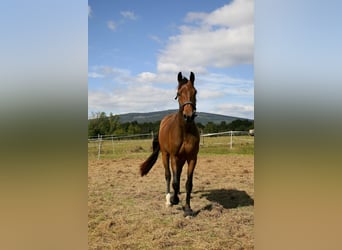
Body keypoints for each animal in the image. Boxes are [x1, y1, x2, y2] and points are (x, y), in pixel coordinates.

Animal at [139, 71, 199, 216]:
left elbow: (188, 183)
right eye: (178, 93)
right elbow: (174, 181)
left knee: (178, 175)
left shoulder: (192, 158)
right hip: (165, 156)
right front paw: (174, 200)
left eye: (195, 92)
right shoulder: (173, 157)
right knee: (168, 175)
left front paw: (187, 209)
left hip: (181, 159)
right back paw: (168, 199)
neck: (185, 131)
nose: (188, 116)